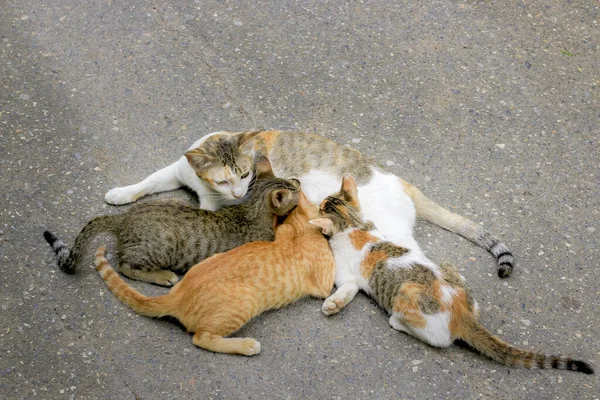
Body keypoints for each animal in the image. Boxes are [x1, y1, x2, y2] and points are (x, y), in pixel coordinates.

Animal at [45, 155, 300, 284]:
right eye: (295, 190)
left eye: (294, 182)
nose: (298, 182)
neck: (252, 209)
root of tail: (124, 218)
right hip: (162, 246)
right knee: (125, 266)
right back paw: (163, 276)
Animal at [94, 189, 338, 354]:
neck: (298, 232)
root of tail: (177, 295)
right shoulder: (324, 283)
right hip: (243, 303)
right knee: (201, 338)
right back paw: (246, 345)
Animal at [105, 130, 512, 276]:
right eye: (224, 179)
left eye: (246, 176)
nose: (238, 193)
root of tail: (400, 181)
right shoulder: (178, 173)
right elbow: (149, 181)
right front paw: (121, 193)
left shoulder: (219, 208)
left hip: (377, 225)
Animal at [310, 176, 596, 376]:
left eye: (322, 205)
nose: (318, 204)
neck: (354, 225)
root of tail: (462, 314)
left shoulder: (346, 276)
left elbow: (344, 289)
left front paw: (332, 303)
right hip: (450, 268)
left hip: (406, 297)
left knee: (436, 339)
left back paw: (397, 322)